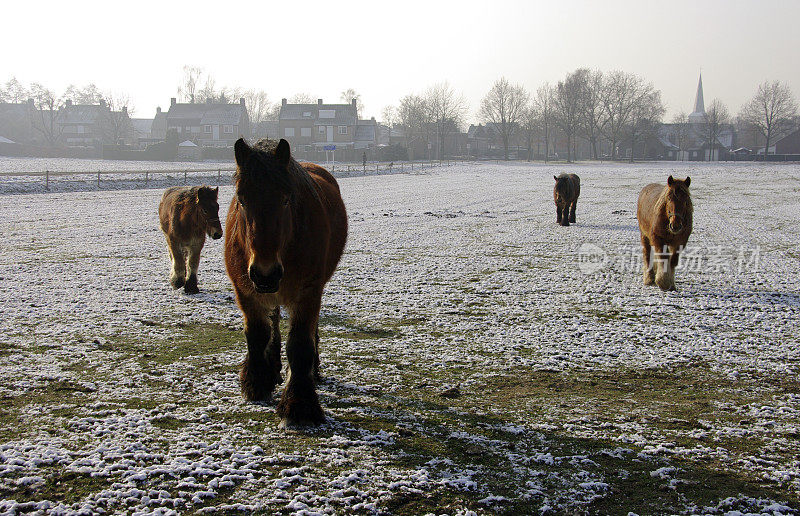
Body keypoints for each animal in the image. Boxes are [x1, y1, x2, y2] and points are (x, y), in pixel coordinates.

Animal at [227, 137, 348, 428]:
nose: (265, 273)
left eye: (285, 199)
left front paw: (299, 405)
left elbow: (300, 345)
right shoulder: (246, 292)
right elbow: (257, 335)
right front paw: (256, 383)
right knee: (272, 324)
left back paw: (312, 371)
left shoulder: (308, 294)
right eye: (241, 199)